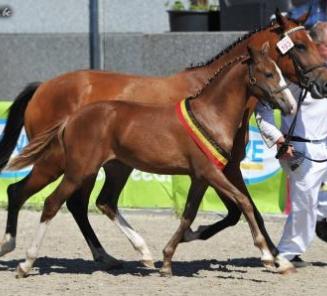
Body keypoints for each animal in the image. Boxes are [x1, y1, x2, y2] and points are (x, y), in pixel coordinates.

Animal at [0, 11, 327, 266]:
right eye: (299, 45)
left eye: (314, 43)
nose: (322, 85)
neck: (210, 95)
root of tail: (44, 87)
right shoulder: (222, 168)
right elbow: (244, 210)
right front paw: (271, 254)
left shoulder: (222, 168)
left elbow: (241, 210)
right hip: (70, 161)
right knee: (39, 195)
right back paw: (13, 244)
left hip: (104, 165)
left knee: (85, 204)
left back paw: (110, 255)